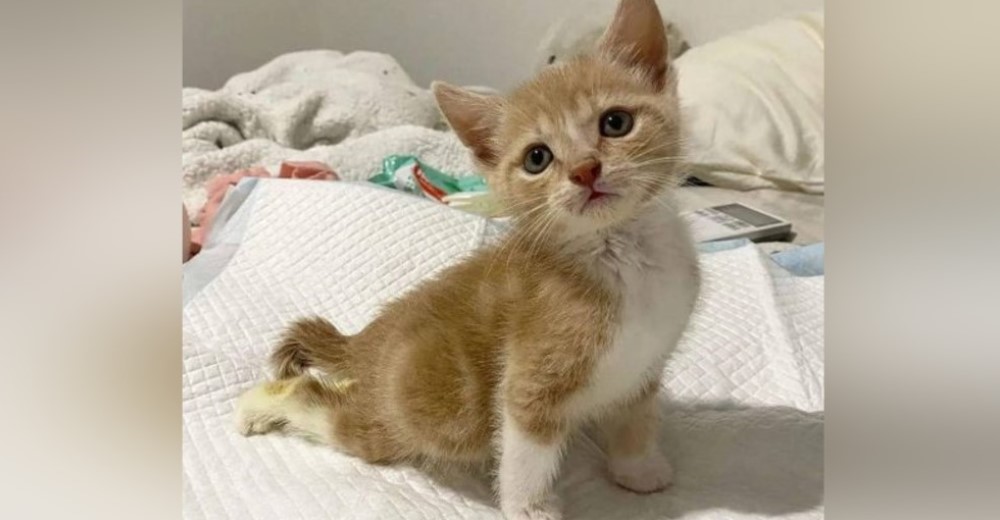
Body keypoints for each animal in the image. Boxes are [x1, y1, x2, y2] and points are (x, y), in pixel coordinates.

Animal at [237, 2, 700, 516]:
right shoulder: (528, 381)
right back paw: (260, 407)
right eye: (537, 158)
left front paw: (637, 469)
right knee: (326, 406)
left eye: (615, 123)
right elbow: (525, 453)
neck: (621, 257)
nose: (585, 170)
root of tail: (365, 342)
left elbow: (634, 417)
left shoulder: (645, 365)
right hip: (433, 414)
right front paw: (530, 508)